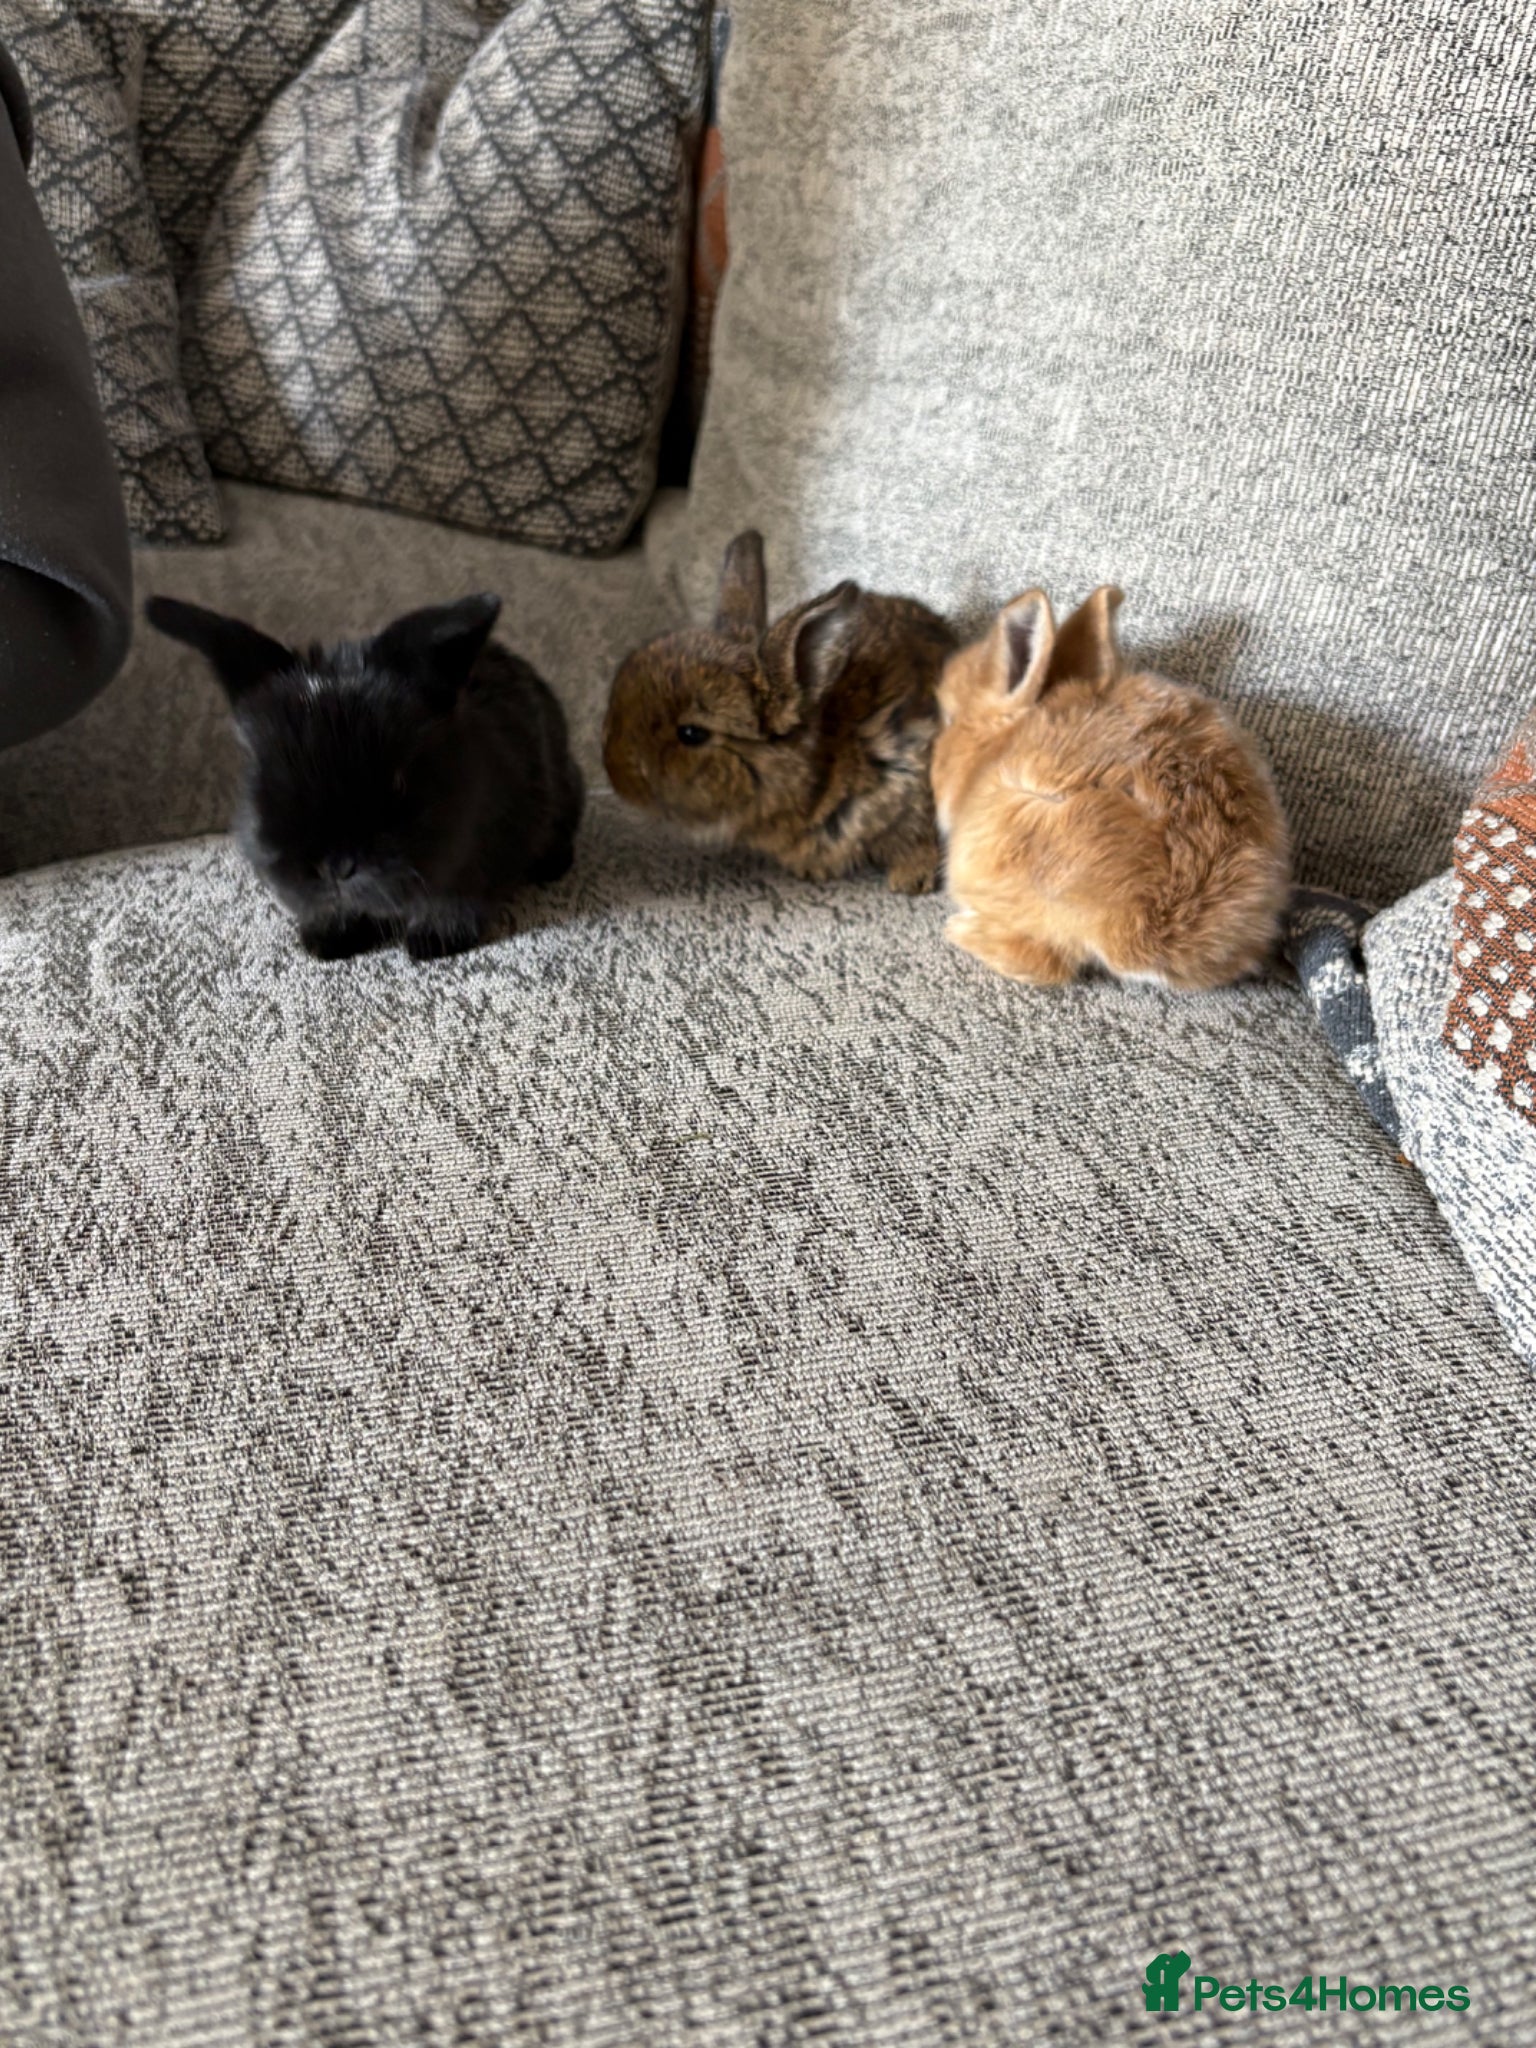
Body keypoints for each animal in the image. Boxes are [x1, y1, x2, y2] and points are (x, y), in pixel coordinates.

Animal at [144, 592, 583, 961]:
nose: (334, 867)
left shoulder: (477, 861)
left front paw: (433, 943)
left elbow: (456, 903)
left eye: (399, 782)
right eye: (266, 778)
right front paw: (327, 941)